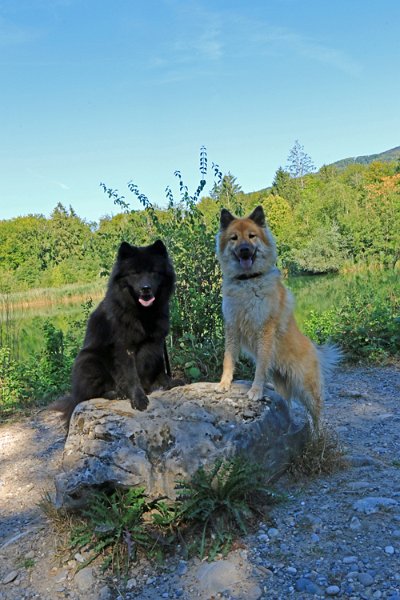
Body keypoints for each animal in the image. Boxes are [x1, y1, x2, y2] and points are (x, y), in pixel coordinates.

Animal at [52, 239, 177, 426]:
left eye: (153, 272)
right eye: (135, 273)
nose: (145, 288)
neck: (143, 314)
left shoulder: (157, 341)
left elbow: (159, 365)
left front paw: (169, 383)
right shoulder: (125, 347)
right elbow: (132, 375)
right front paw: (139, 398)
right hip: (88, 360)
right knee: (90, 395)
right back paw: (117, 393)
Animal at [216, 206, 340, 426]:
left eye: (251, 236)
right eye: (234, 238)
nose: (245, 250)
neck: (247, 282)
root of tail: (315, 348)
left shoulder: (265, 329)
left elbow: (261, 365)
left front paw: (256, 390)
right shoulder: (232, 326)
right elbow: (228, 359)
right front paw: (224, 383)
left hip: (307, 389)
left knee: (317, 416)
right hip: (282, 384)